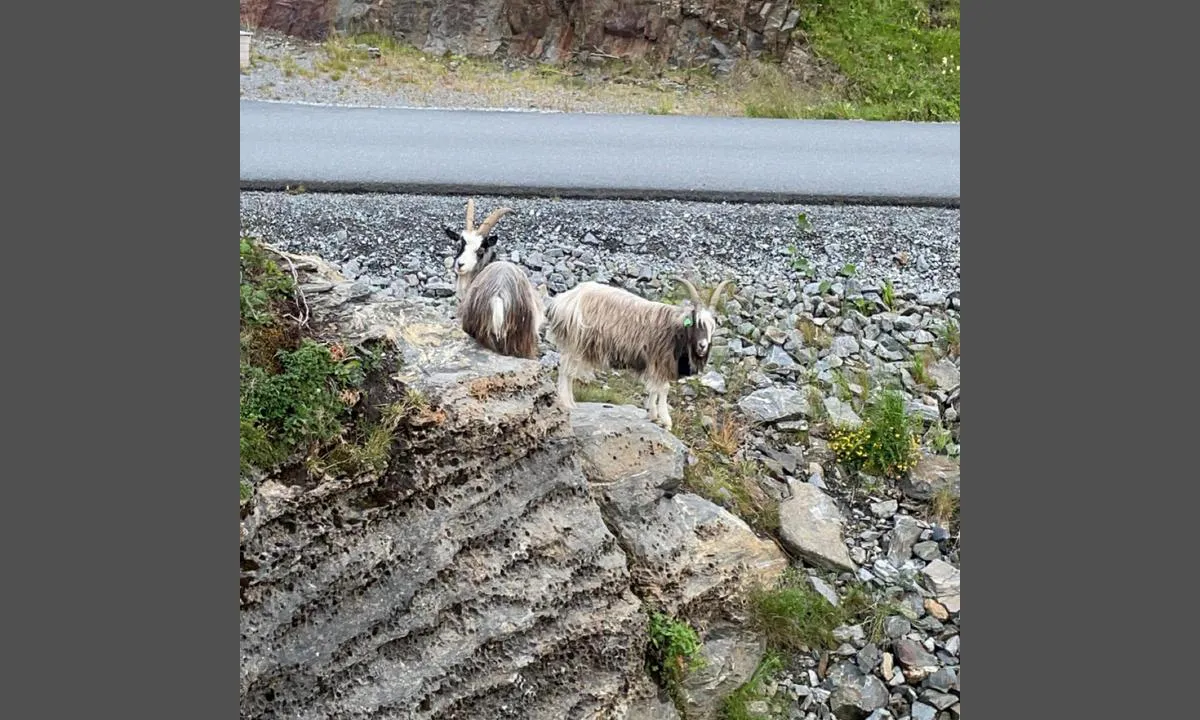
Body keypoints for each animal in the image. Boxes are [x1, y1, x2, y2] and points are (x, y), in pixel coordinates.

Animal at [547, 278, 729, 429]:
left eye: (713, 326)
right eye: (696, 322)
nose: (702, 346)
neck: (675, 329)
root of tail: (563, 300)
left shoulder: (654, 363)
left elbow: (654, 389)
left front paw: (653, 415)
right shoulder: (659, 361)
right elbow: (663, 389)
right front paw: (666, 420)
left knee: (567, 372)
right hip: (574, 344)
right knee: (566, 372)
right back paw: (566, 403)